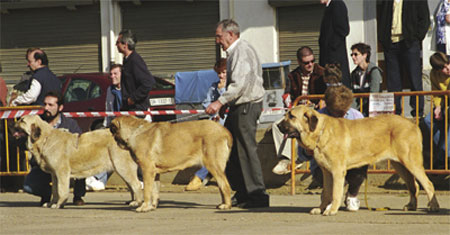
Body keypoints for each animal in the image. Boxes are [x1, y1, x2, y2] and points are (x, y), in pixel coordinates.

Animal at [278, 105, 440, 216]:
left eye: (291, 116)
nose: (278, 125)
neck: (320, 132)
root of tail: (413, 124)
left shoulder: (337, 172)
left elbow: (335, 193)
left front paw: (332, 210)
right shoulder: (327, 173)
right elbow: (326, 193)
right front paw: (321, 208)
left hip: (411, 162)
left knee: (428, 184)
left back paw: (433, 206)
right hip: (399, 165)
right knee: (414, 186)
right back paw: (411, 206)